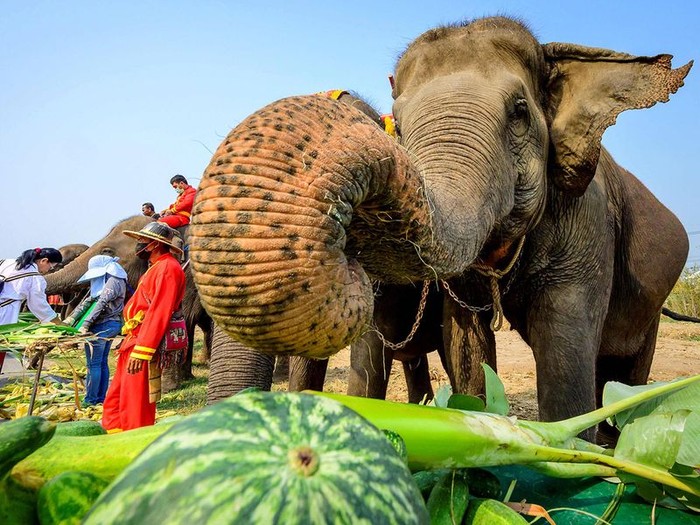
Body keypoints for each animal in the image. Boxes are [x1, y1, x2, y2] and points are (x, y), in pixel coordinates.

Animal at [189, 15, 692, 438]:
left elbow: (564, 357)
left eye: (519, 110)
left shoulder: (586, 223)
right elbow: (459, 346)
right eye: (399, 122)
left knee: (624, 373)